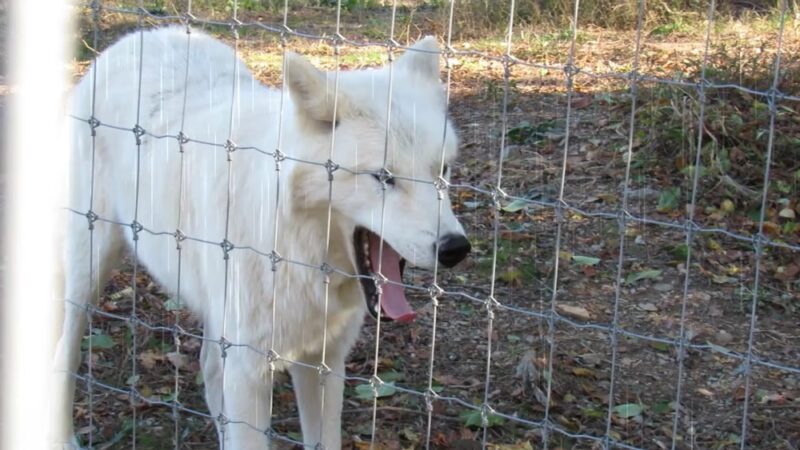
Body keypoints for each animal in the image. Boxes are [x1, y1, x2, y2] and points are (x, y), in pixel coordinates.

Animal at [53, 26, 470, 449]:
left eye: (442, 170)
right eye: (384, 177)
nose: (456, 248)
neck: (298, 256)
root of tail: (142, 34)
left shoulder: (323, 362)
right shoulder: (249, 370)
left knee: (209, 370)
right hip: (89, 272)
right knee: (64, 353)